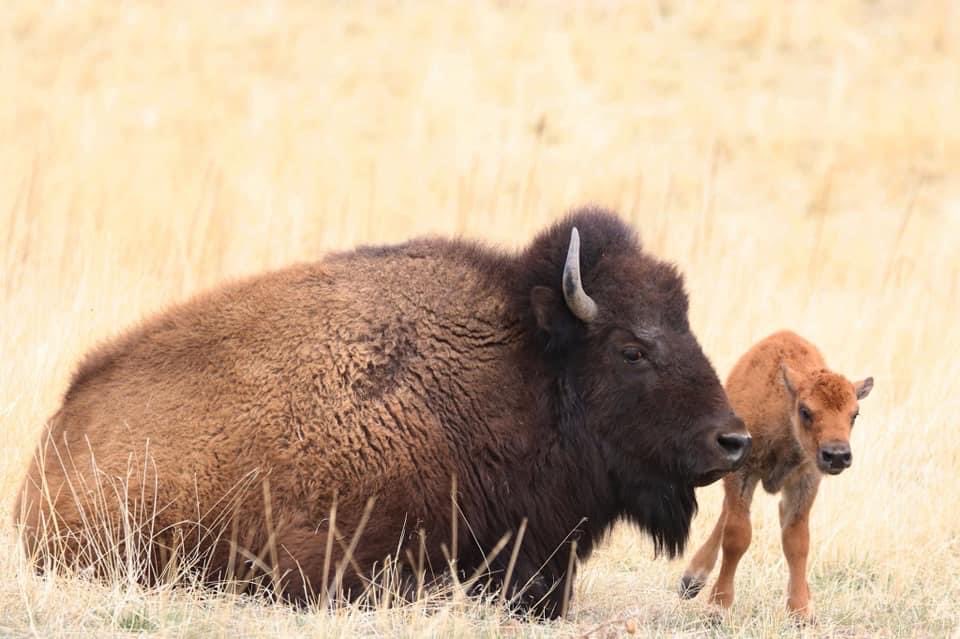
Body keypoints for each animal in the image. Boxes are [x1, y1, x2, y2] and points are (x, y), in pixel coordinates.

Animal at [679, 330, 874, 621]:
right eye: (805, 411)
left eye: (855, 414)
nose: (837, 455)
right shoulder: (743, 473)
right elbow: (737, 536)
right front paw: (718, 606)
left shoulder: (806, 479)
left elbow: (797, 540)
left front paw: (801, 610)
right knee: (728, 514)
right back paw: (692, 580)